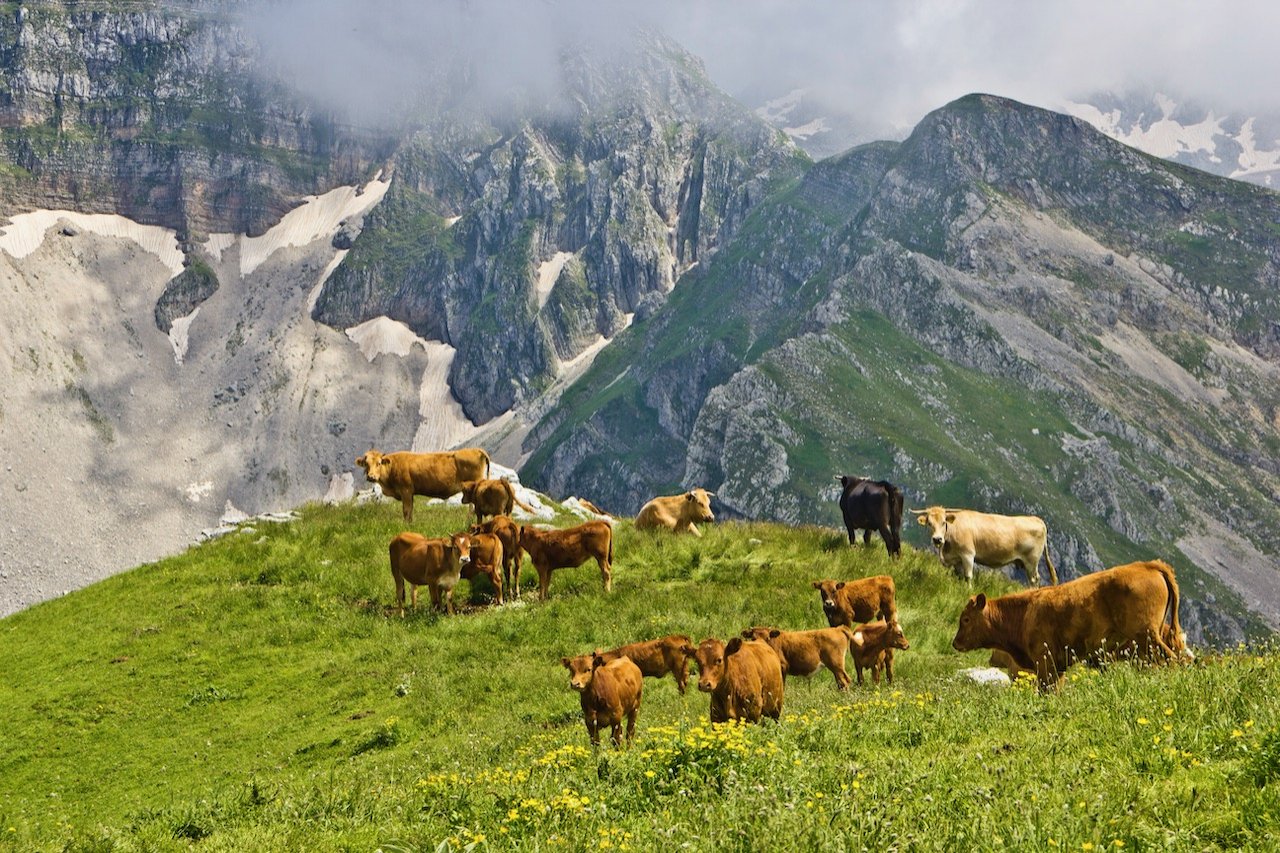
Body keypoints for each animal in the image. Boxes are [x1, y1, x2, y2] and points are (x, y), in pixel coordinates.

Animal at [358, 448, 491, 522]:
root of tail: (476, 449)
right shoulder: (410, 493)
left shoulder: (406, 491)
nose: (371, 477)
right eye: (366, 464)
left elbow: (406, 511)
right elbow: (410, 511)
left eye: (379, 463)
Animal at [911, 504, 1059, 584]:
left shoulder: (968, 554)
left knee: (1034, 580)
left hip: (1031, 561)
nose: (937, 539)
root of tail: (1037, 520)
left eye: (943, 522)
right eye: (929, 523)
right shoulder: (956, 560)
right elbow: (959, 577)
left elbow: (968, 576)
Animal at [952, 555, 1177, 686]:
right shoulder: (1058, 667)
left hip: (1147, 636)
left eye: (966, 619)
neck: (1024, 614)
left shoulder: (1045, 662)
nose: (955, 643)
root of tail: (1148, 565)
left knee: (1173, 660)